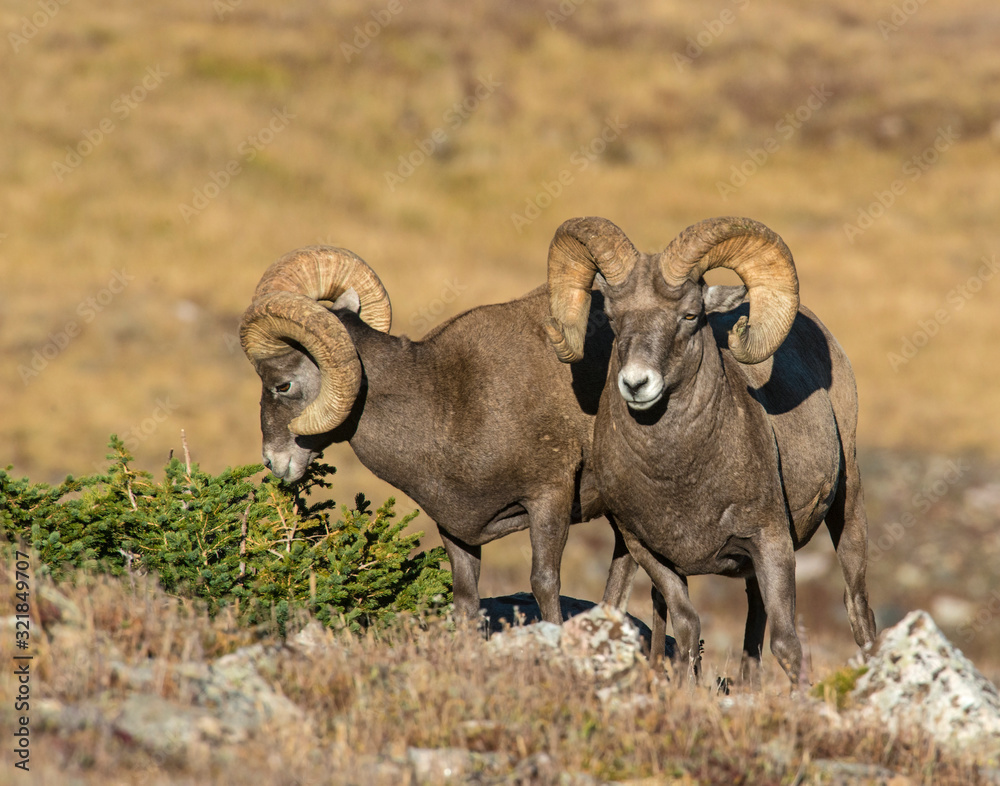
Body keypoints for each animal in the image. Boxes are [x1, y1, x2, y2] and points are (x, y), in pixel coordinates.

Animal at [239, 244, 637, 626]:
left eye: (283, 384)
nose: (272, 461)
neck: (450, 405)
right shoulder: (455, 528)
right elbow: (465, 599)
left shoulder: (549, 498)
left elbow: (544, 583)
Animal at [543, 216, 877, 687]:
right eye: (611, 316)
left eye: (689, 314)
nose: (636, 384)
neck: (680, 476)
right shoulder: (646, 550)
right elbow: (686, 624)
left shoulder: (771, 541)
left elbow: (787, 644)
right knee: (752, 614)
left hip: (847, 508)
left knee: (856, 603)